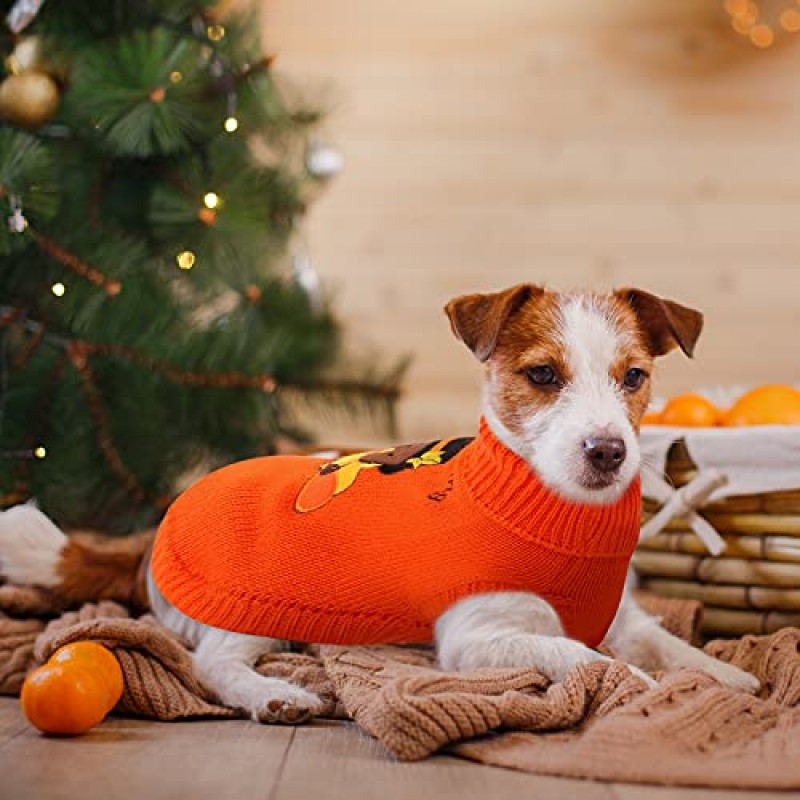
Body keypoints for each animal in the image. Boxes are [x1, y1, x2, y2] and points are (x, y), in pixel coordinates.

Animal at [0, 284, 760, 720]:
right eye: (543, 375)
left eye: (634, 377)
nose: (609, 451)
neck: (556, 512)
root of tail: (154, 529)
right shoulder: (478, 638)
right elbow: (582, 656)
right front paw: (641, 684)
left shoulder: (624, 617)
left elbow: (670, 642)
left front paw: (729, 675)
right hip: (252, 606)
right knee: (208, 665)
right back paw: (273, 695)